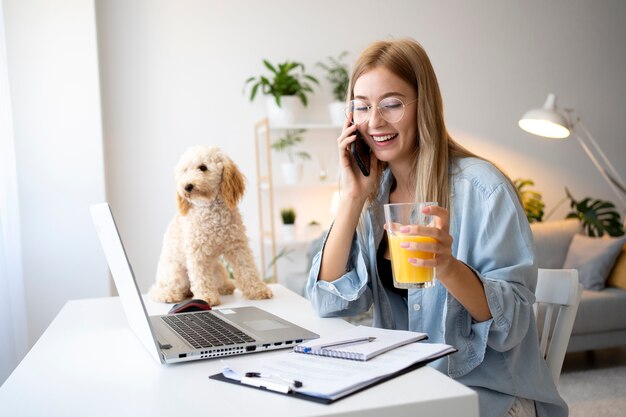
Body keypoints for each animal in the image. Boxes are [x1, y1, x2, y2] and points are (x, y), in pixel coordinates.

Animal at [150, 145, 272, 304]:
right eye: (185, 171)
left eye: (203, 167)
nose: (187, 186)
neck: (211, 209)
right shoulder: (197, 252)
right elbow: (201, 277)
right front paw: (206, 297)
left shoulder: (237, 245)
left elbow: (247, 268)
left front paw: (258, 290)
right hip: (176, 273)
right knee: (162, 291)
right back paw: (169, 295)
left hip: (218, 268)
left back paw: (225, 286)